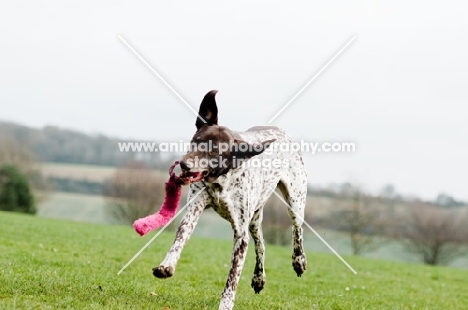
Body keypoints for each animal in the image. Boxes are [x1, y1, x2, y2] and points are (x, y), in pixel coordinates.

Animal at [152, 90, 308, 310]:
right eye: (196, 140)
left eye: (214, 151)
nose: (184, 164)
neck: (221, 180)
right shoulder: (193, 211)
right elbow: (180, 239)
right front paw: (167, 265)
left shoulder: (241, 236)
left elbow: (233, 276)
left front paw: (226, 303)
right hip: (255, 218)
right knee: (261, 243)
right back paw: (258, 278)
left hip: (295, 202)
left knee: (297, 230)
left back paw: (299, 261)